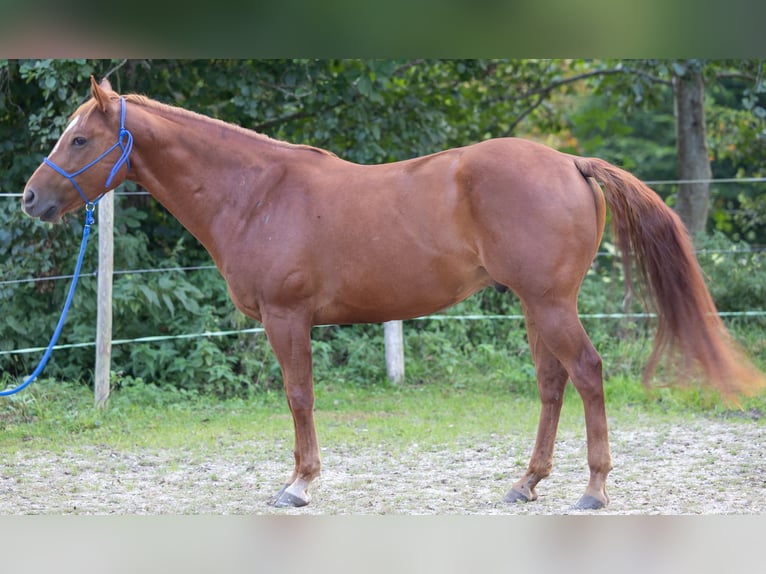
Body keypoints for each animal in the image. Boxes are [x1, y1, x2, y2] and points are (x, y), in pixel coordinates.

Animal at [21, 77, 764, 512]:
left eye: (80, 138)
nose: (29, 198)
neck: (256, 193)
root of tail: (571, 163)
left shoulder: (288, 319)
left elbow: (299, 397)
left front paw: (299, 484)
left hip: (551, 303)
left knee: (586, 373)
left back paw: (594, 489)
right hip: (534, 304)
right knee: (552, 383)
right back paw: (525, 483)